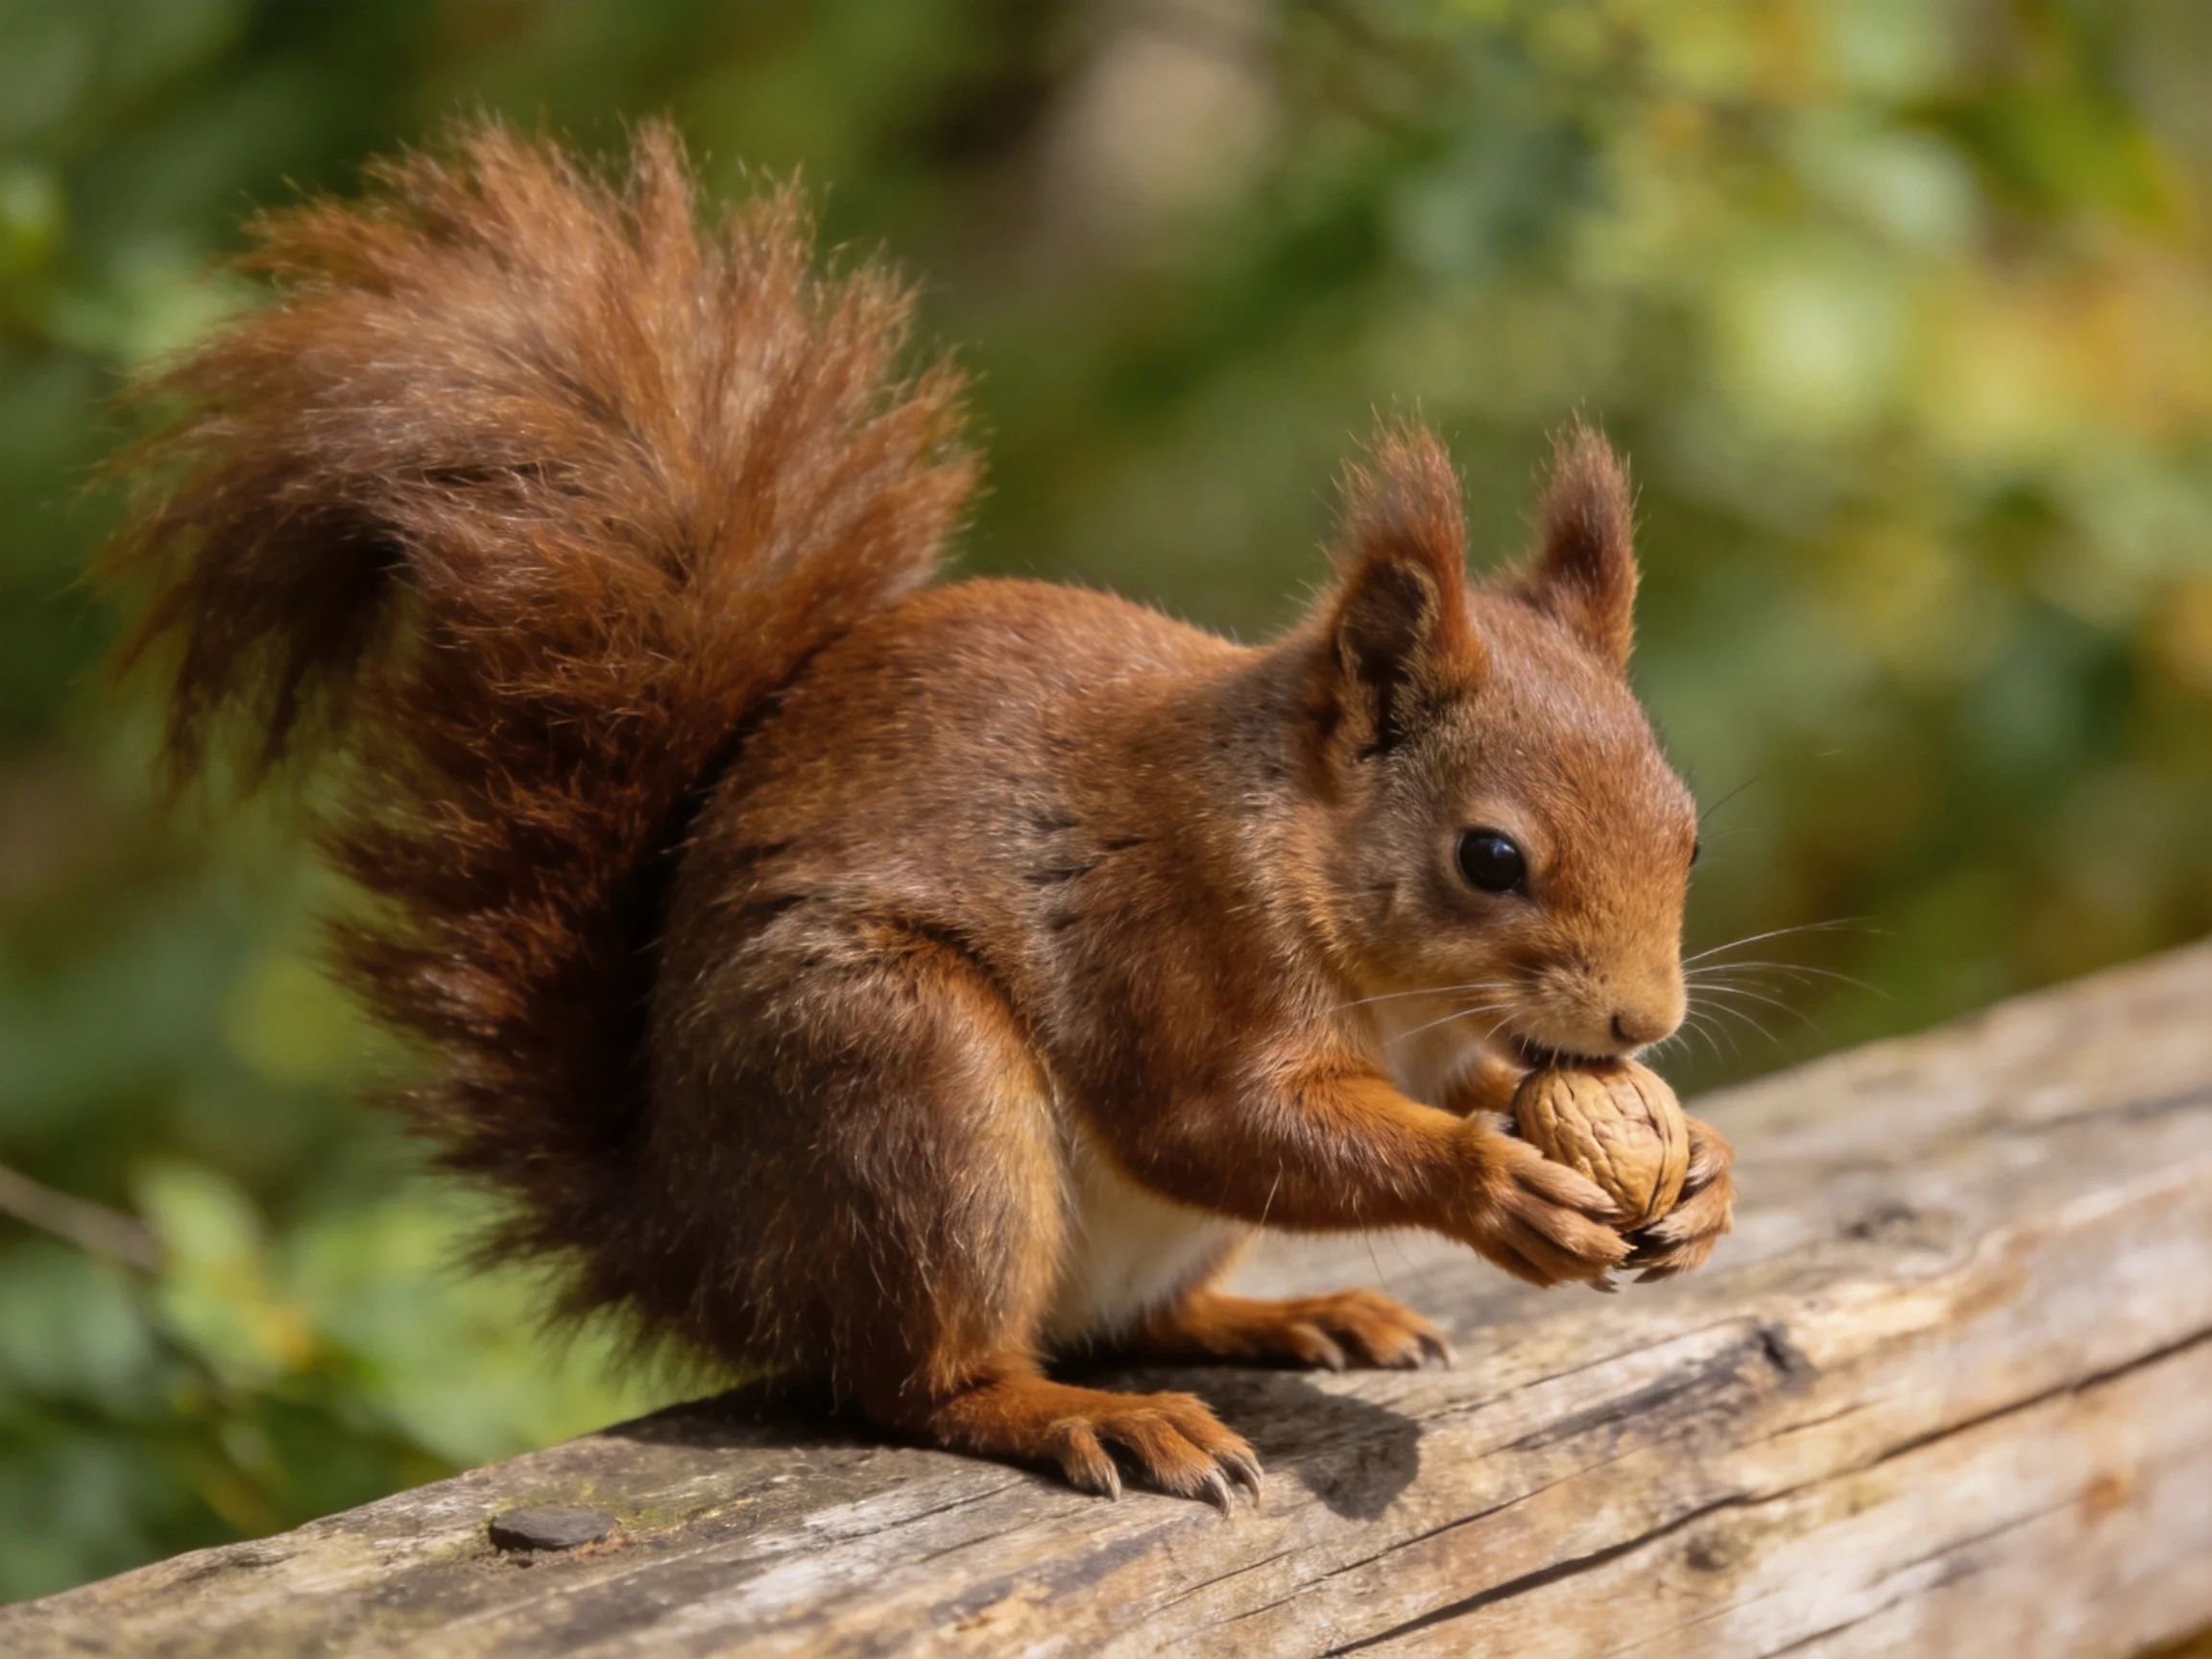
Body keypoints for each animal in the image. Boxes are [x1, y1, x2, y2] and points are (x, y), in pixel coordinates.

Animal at [102, 121, 1734, 1507]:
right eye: (1489, 858)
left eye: (1691, 828)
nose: (1645, 1023)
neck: (1319, 863)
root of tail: (698, 1236)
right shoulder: (1184, 928)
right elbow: (1221, 1119)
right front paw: (1495, 1182)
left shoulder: (1441, 1038)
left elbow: (1471, 1083)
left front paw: (1698, 1166)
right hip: (905, 1085)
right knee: (925, 1378)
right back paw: (1079, 1415)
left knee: (1140, 1314)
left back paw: (1291, 1314)